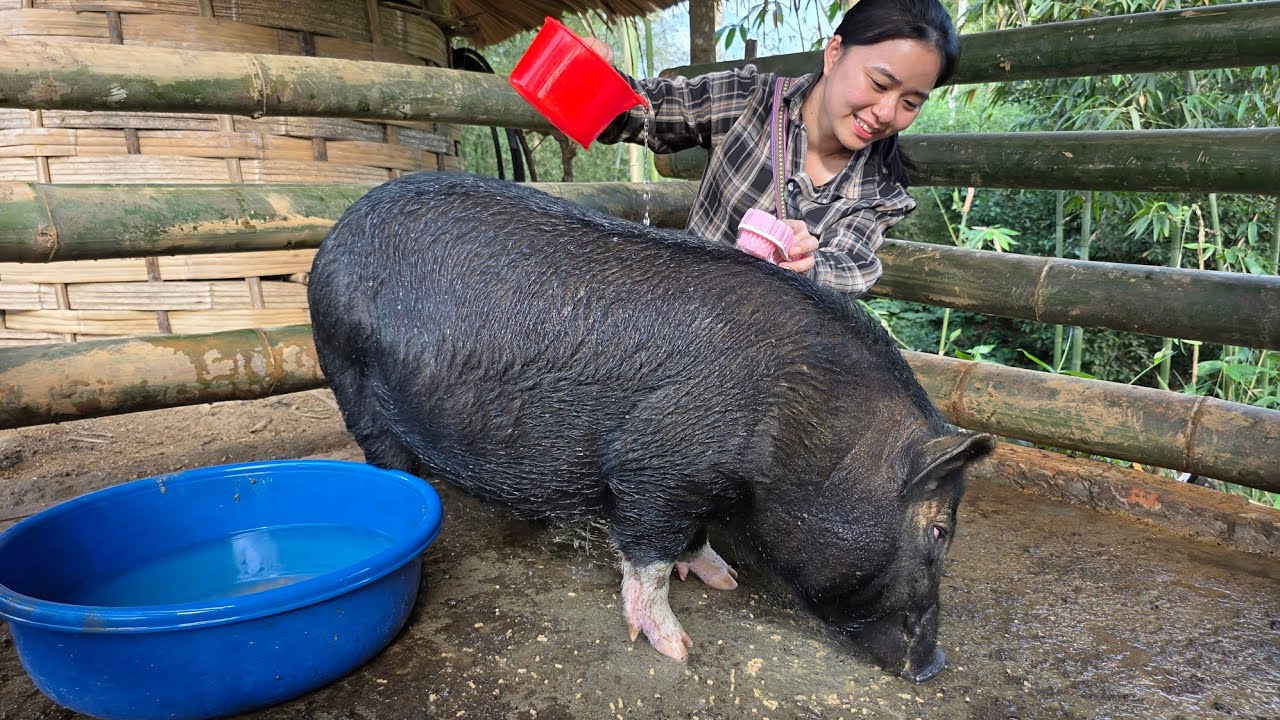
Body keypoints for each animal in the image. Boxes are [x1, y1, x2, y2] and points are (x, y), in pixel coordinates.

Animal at [307, 171, 994, 682]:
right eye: (939, 531)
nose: (934, 665)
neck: (802, 422)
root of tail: (335, 234)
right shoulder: (653, 470)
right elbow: (648, 557)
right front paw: (679, 648)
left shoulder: (695, 484)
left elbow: (692, 538)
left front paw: (724, 580)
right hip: (348, 372)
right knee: (385, 455)